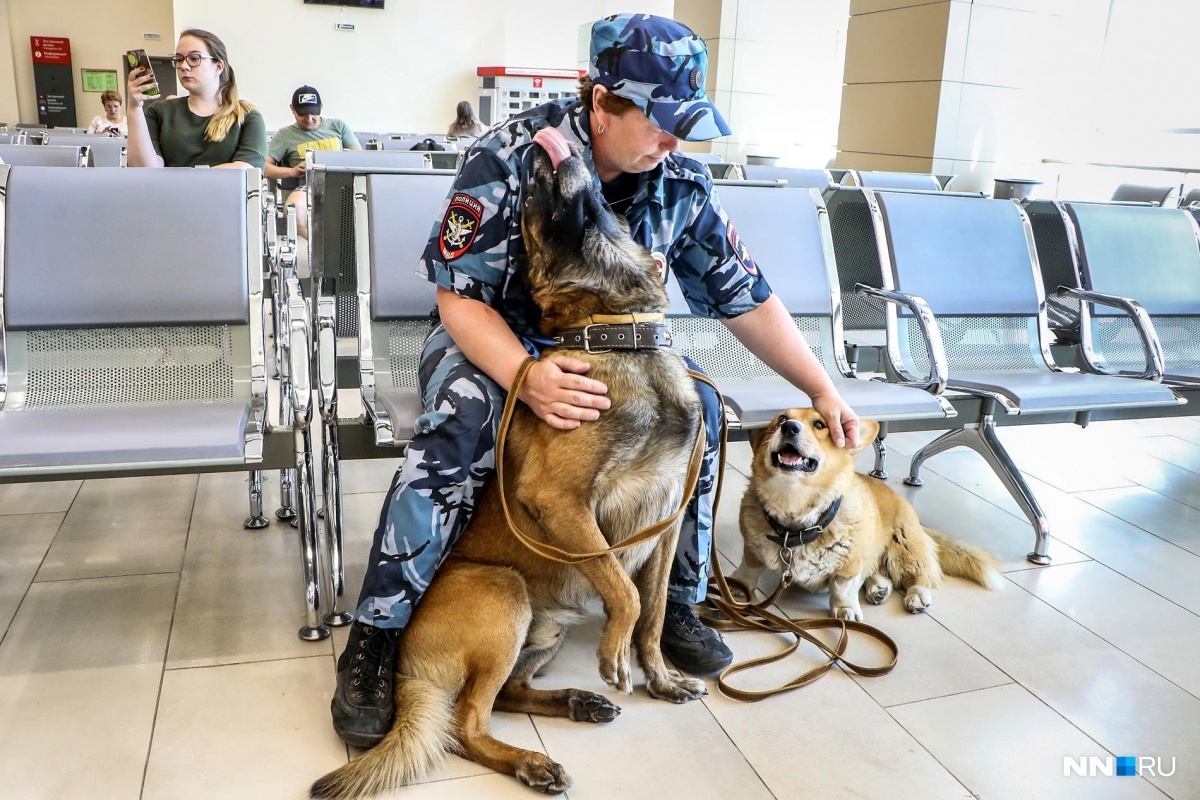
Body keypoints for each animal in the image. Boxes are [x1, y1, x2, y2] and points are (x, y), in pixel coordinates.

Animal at [309, 139, 705, 800]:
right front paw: (615, 657)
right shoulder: (562, 503)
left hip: (540, 633)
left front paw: (660, 676)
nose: (545, 149)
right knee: (467, 724)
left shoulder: (666, 524)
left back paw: (573, 703)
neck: (617, 339)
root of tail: (407, 668)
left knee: (508, 696)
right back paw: (531, 761)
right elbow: (623, 592)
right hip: (505, 594)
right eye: (525, 218)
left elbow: (651, 614)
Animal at [729, 410, 1003, 623]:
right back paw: (878, 588)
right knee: (877, 570)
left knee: (918, 574)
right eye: (782, 418)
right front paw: (737, 589)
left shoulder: (849, 564)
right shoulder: (752, 550)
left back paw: (916, 595)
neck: (794, 512)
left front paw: (845, 610)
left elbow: (842, 588)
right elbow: (748, 571)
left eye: (819, 424)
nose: (789, 427)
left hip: (903, 546)